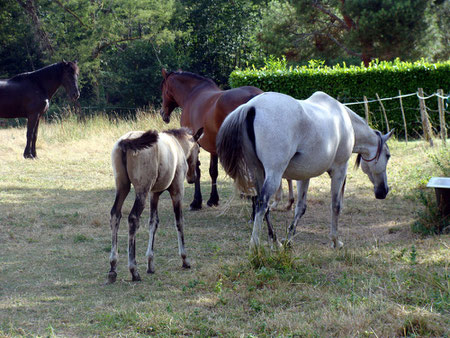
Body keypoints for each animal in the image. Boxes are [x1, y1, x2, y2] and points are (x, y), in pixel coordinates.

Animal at [107, 126, 202, 282]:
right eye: (198, 150)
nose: (192, 177)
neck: (177, 144)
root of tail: (128, 140)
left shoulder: (154, 194)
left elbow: (153, 223)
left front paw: (150, 263)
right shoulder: (177, 191)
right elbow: (179, 222)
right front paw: (185, 259)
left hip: (123, 187)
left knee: (115, 215)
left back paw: (113, 268)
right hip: (142, 190)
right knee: (133, 218)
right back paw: (133, 270)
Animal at [160, 69, 264, 209]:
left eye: (163, 90)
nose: (162, 113)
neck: (192, 94)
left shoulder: (195, 143)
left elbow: (197, 170)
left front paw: (197, 201)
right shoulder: (213, 147)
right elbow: (213, 171)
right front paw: (213, 199)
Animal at [216, 91, 392, 250]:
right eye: (388, 155)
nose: (383, 191)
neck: (343, 120)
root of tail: (251, 107)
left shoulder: (304, 176)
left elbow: (300, 208)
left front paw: (289, 239)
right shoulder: (340, 171)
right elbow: (336, 205)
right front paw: (335, 241)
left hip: (258, 172)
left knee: (261, 204)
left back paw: (276, 241)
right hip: (274, 173)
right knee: (262, 203)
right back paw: (255, 245)